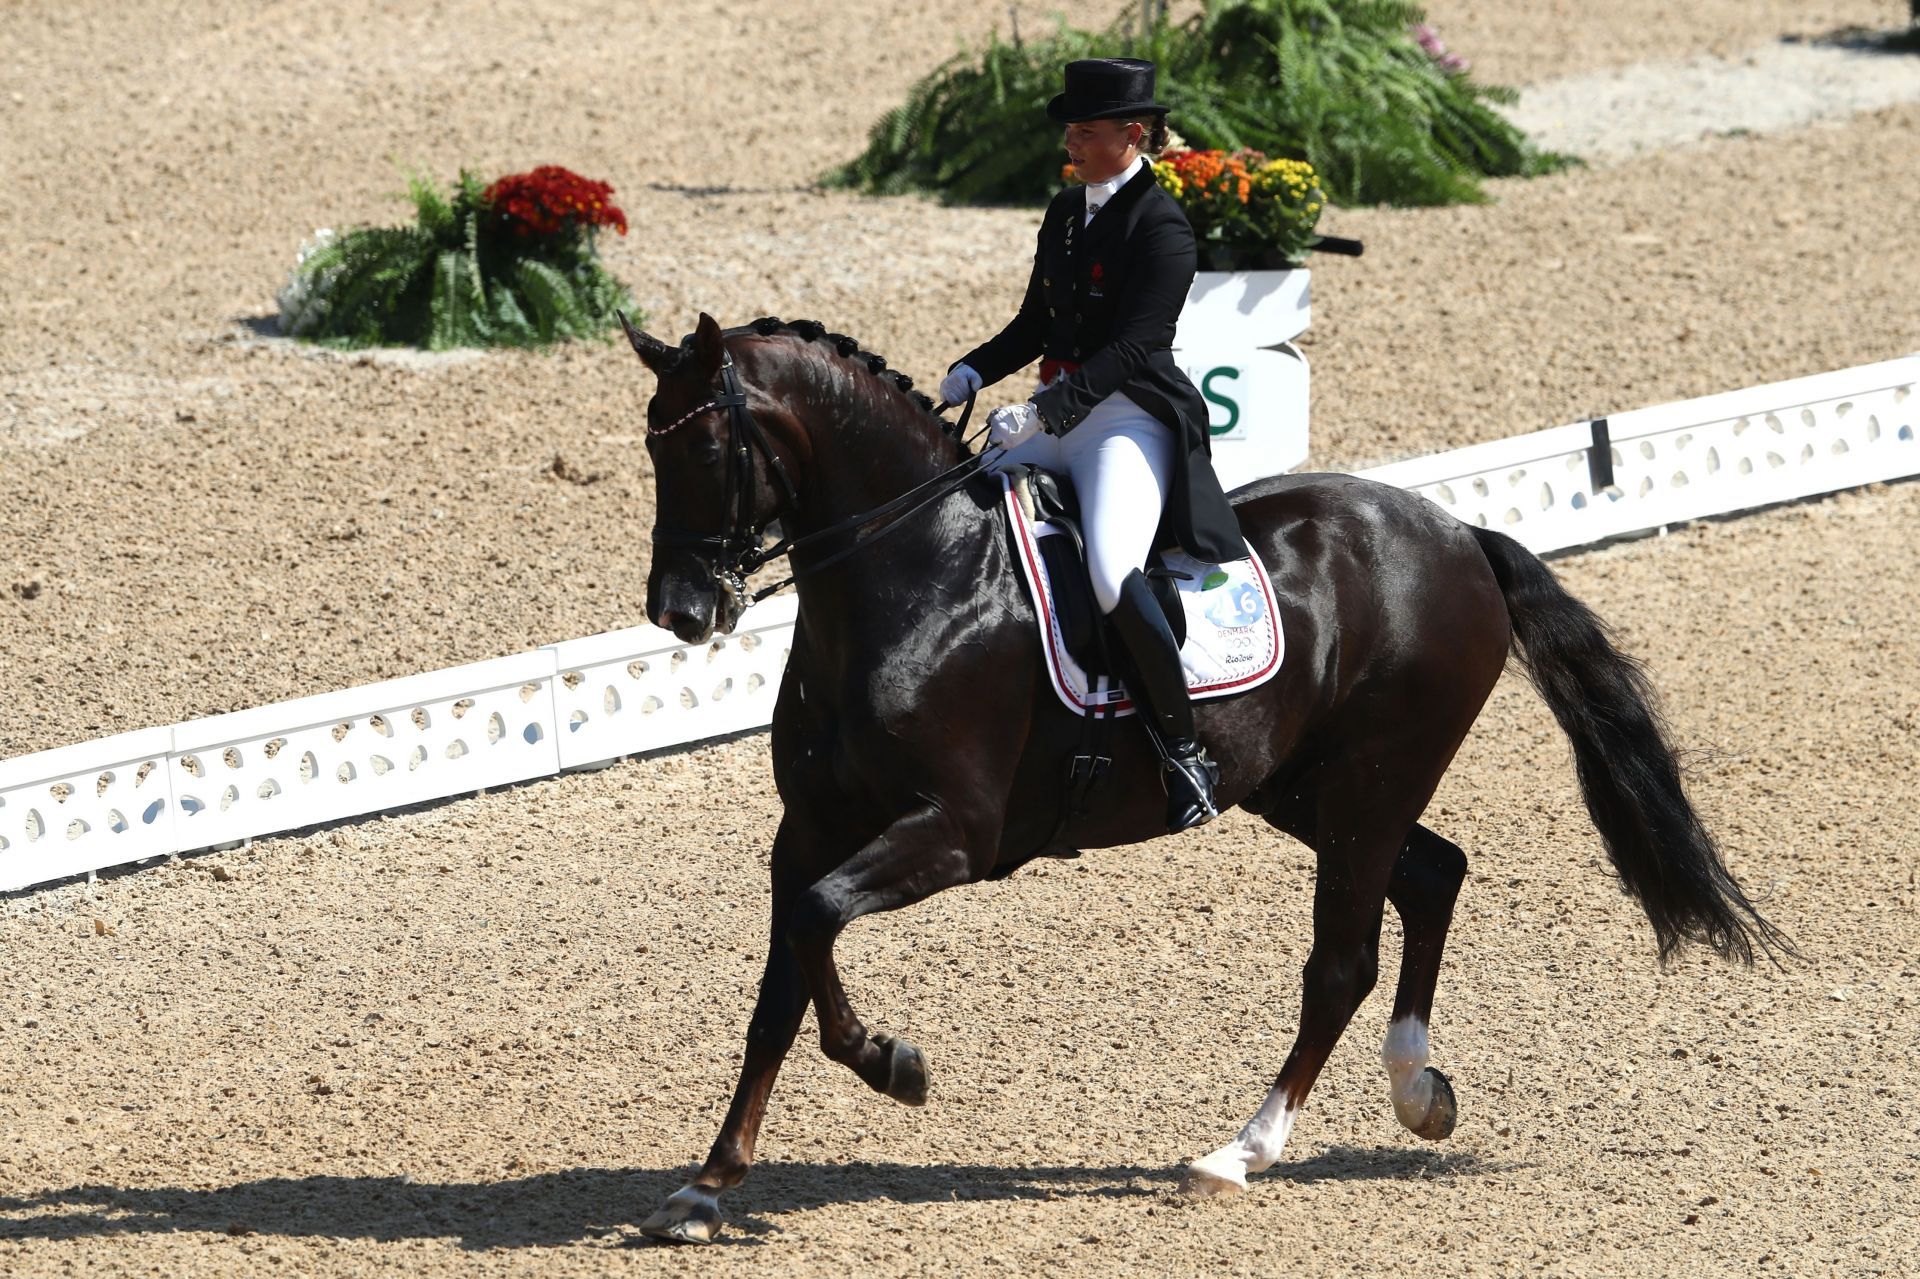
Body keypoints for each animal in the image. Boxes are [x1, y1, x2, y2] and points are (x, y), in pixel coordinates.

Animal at [622, 309, 1789, 1236]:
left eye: (709, 445)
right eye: (650, 446)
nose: (681, 611)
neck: (915, 579)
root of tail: (1457, 530)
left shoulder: (952, 832)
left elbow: (819, 927)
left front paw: (883, 1069)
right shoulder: (810, 831)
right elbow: (784, 975)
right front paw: (717, 1178)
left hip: (1370, 781)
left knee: (1342, 961)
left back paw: (1240, 1151)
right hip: (1309, 787)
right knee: (1433, 875)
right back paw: (1419, 1091)